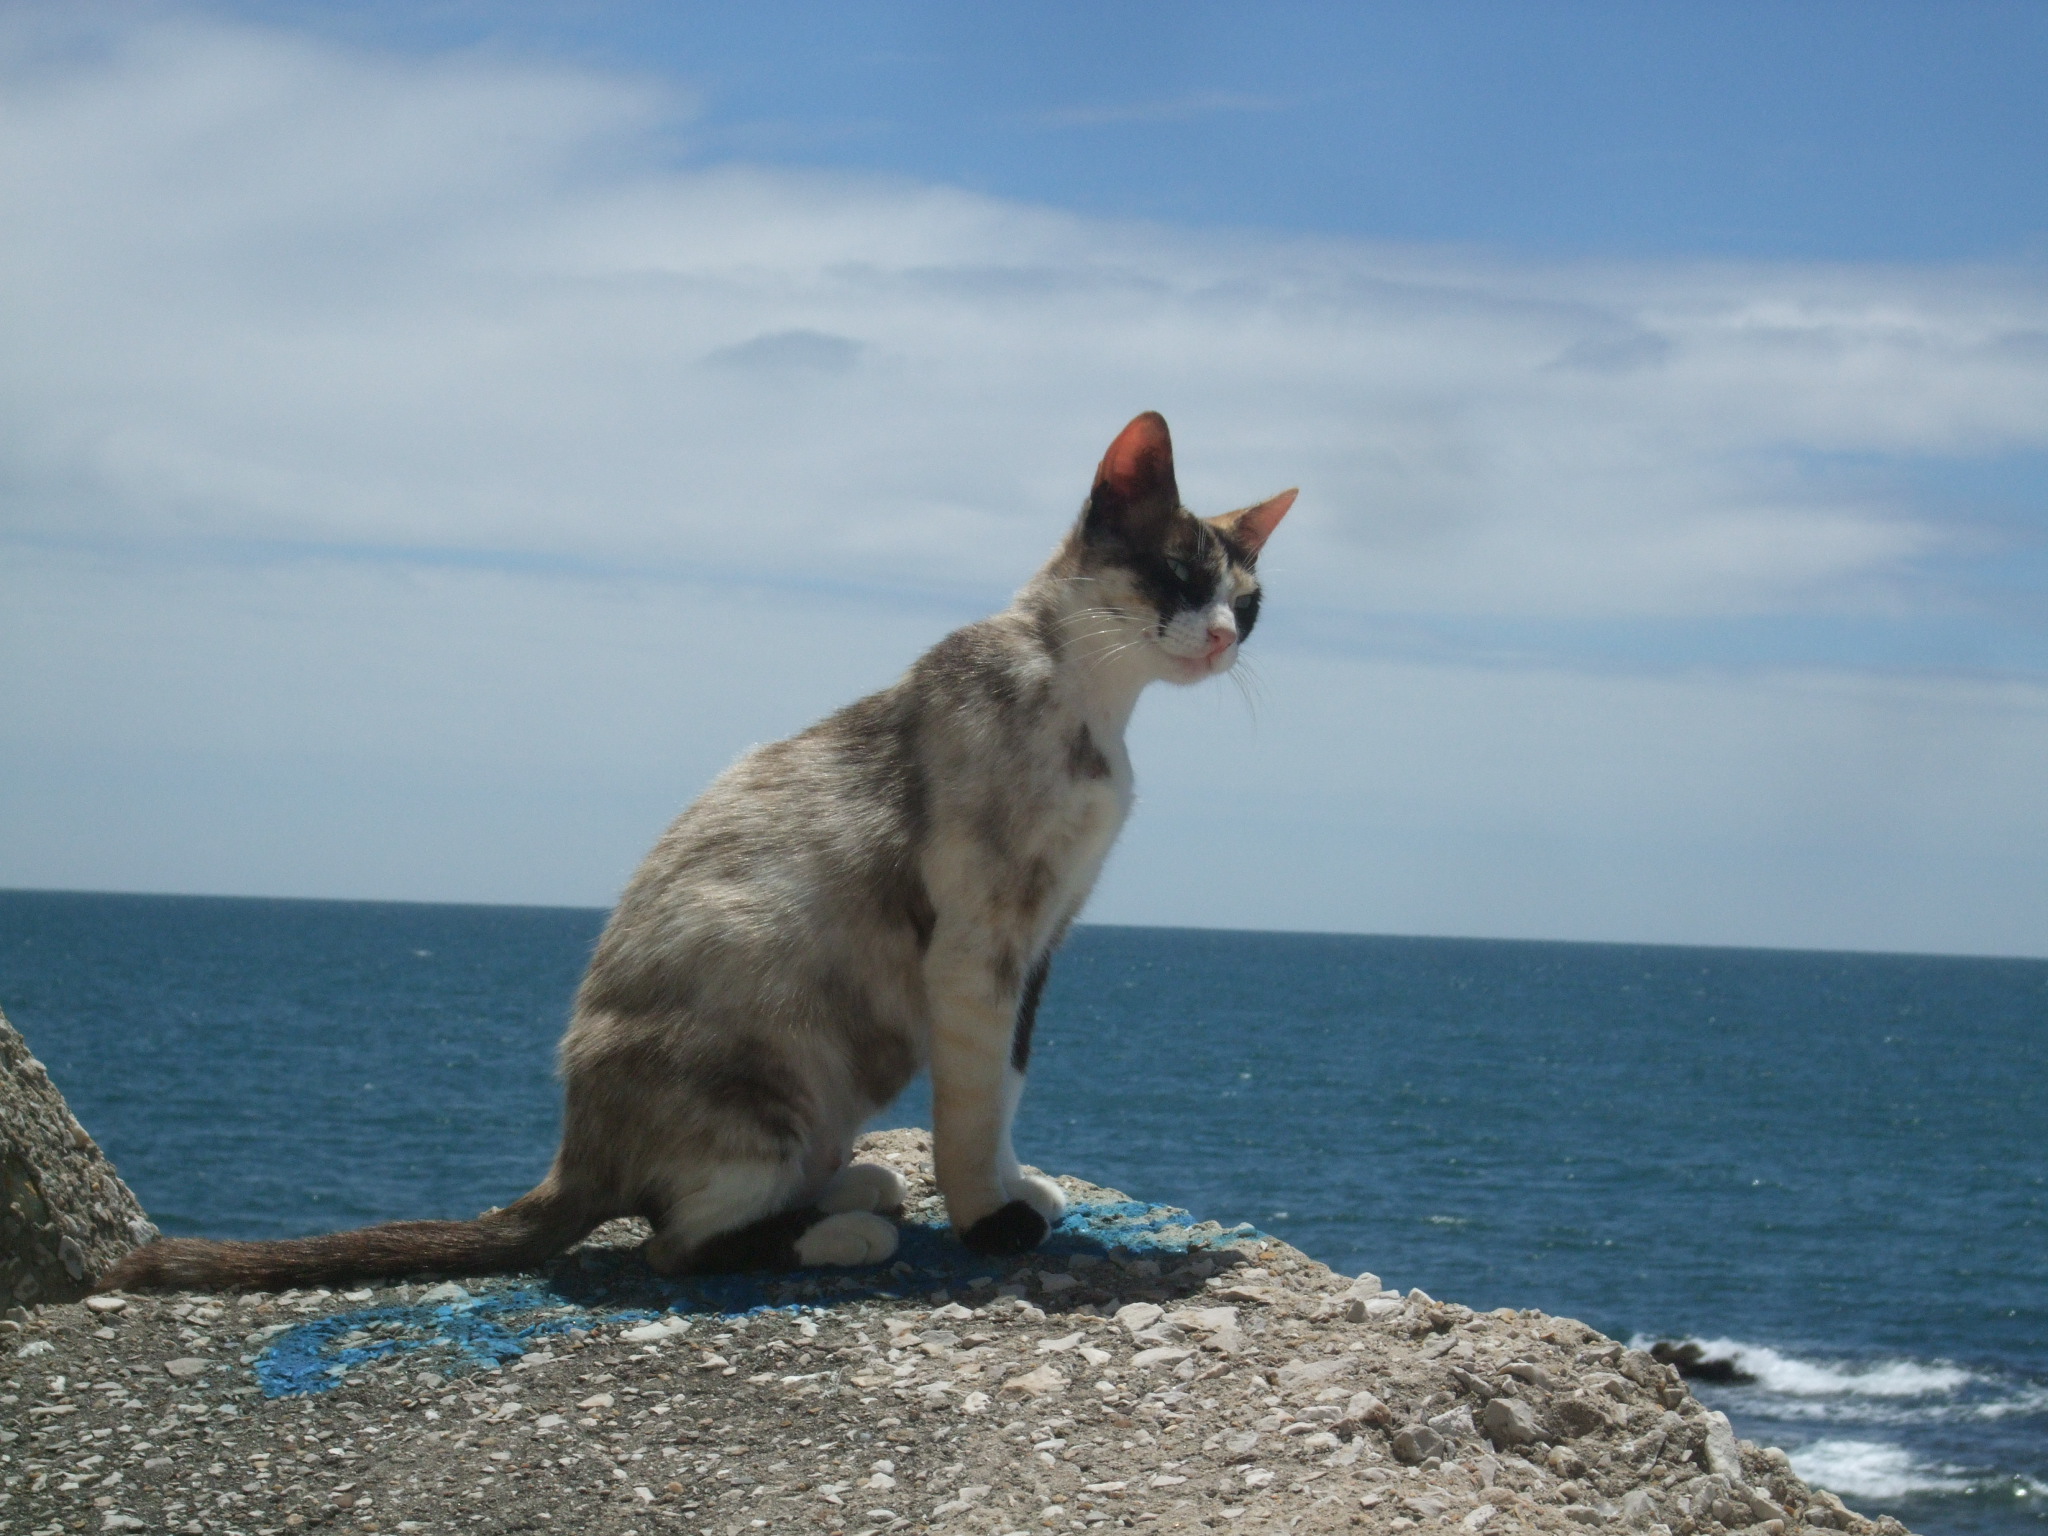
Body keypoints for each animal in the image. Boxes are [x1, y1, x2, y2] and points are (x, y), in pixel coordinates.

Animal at [99, 411, 1293, 1292]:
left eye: (1248, 603)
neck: (1095, 706)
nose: (1219, 638)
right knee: (675, 1245)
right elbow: (969, 1107)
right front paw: (987, 1222)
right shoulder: (980, 945)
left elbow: (1004, 1086)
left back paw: (848, 1191)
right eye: (1177, 575)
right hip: (772, 1067)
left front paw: (1011, 1191)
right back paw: (841, 1234)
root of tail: (574, 1153)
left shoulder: (1042, 942)